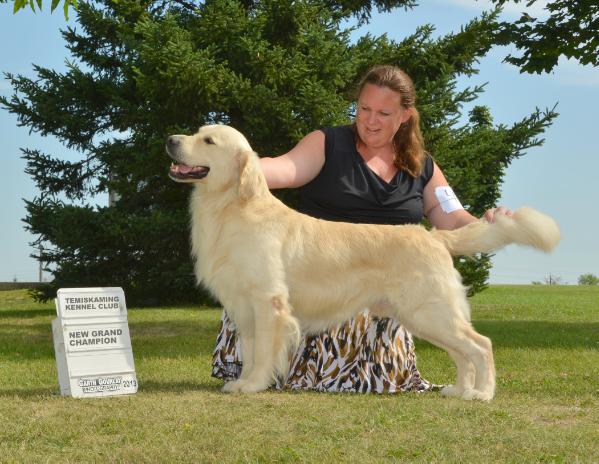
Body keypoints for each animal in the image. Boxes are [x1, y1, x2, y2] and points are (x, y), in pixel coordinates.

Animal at [165, 125, 564, 400]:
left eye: (208, 141)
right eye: (197, 132)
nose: (170, 140)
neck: (232, 207)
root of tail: (433, 236)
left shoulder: (268, 303)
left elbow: (263, 353)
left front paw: (253, 385)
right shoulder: (245, 307)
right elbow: (249, 352)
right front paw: (242, 381)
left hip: (431, 311)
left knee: (481, 345)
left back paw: (482, 393)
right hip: (426, 317)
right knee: (463, 353)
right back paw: (459, 390)